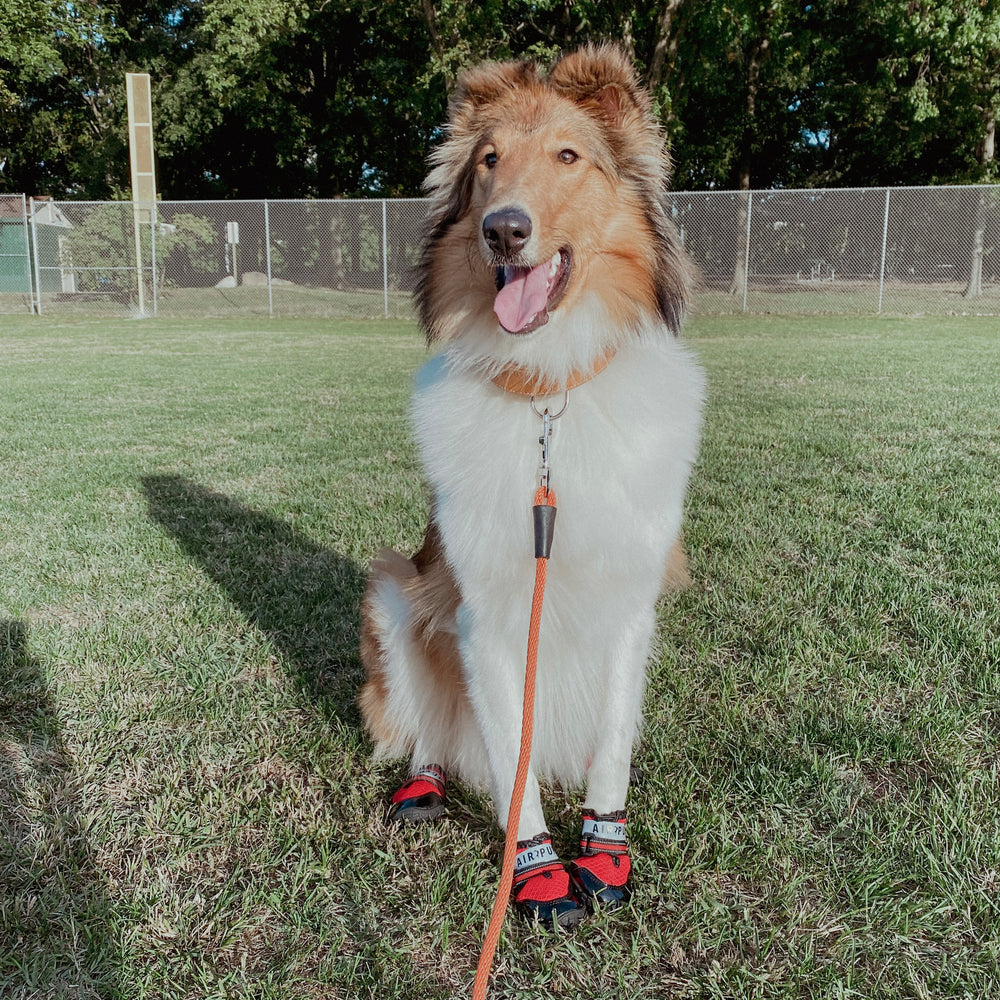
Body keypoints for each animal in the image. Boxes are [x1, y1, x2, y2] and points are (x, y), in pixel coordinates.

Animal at [360, 41, 704, 928]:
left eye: (568, 157)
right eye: (488, 162)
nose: (503, 230)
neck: (548, 387)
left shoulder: (629, 602)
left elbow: (612, 741)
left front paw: (602, 851)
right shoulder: (483, 613)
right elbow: (510, 764)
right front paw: (539, 868)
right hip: (394, 589)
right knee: (433, 732)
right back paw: (423, 784)